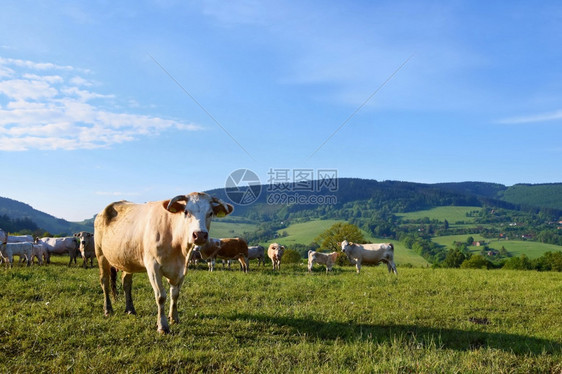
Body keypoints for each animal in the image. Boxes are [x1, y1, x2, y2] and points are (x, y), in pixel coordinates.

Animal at [93, 193, 232, 334]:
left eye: (210, 213)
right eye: (186, 212)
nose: (199, 235)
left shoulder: (182, 269)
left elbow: (175, 294)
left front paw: (174, 318)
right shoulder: (153, 267)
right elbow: (161, 296)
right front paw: (162, 326)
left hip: (127, 259)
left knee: (126, 283)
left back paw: (130, 309)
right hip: (101, 254)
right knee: (104, 282)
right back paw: (108, 309)